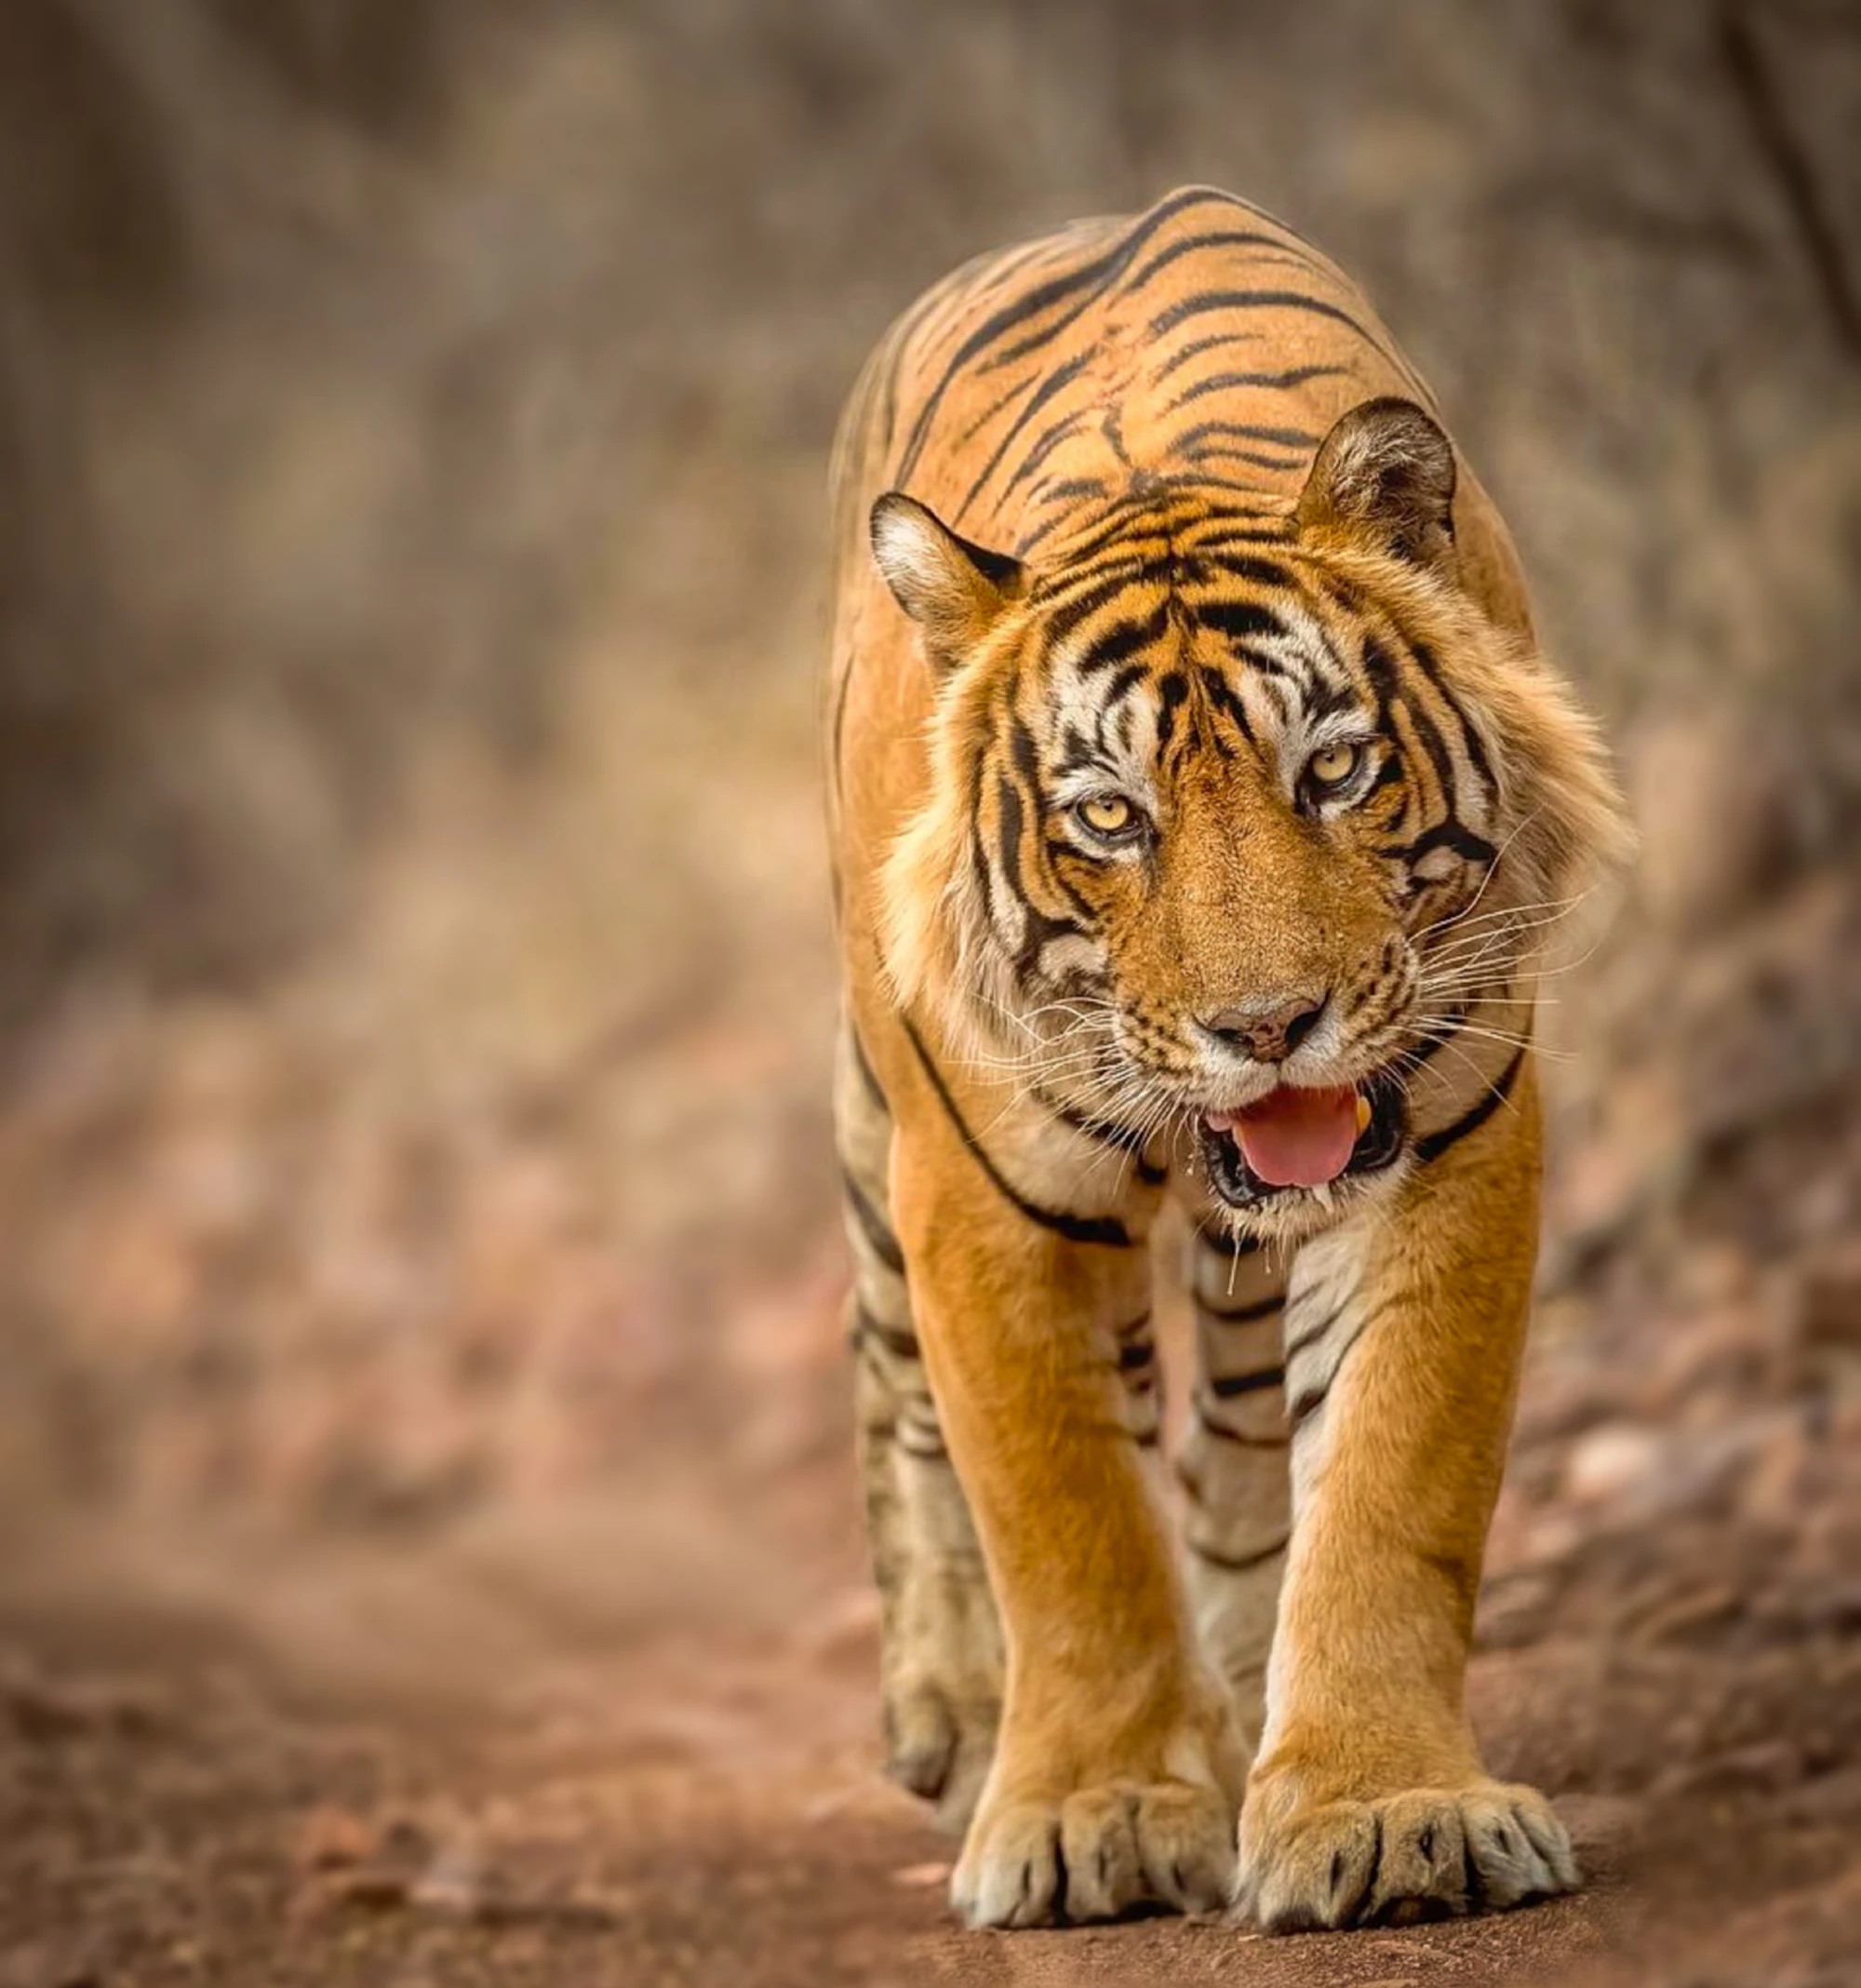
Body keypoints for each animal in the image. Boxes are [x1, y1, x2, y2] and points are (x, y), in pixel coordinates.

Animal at [825, 184, 1629, 1933]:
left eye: (1332, 770)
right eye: (1108, 816)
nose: (1265, 1031)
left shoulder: (1451, 1135)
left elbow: (1393, 1482)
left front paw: (1387, 1808)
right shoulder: (981, 1196)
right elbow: (1066, 1519)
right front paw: (1095, 1816)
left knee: (1248, 1428)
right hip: (876, 1107)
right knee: (892, 1379)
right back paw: (952, 1710)